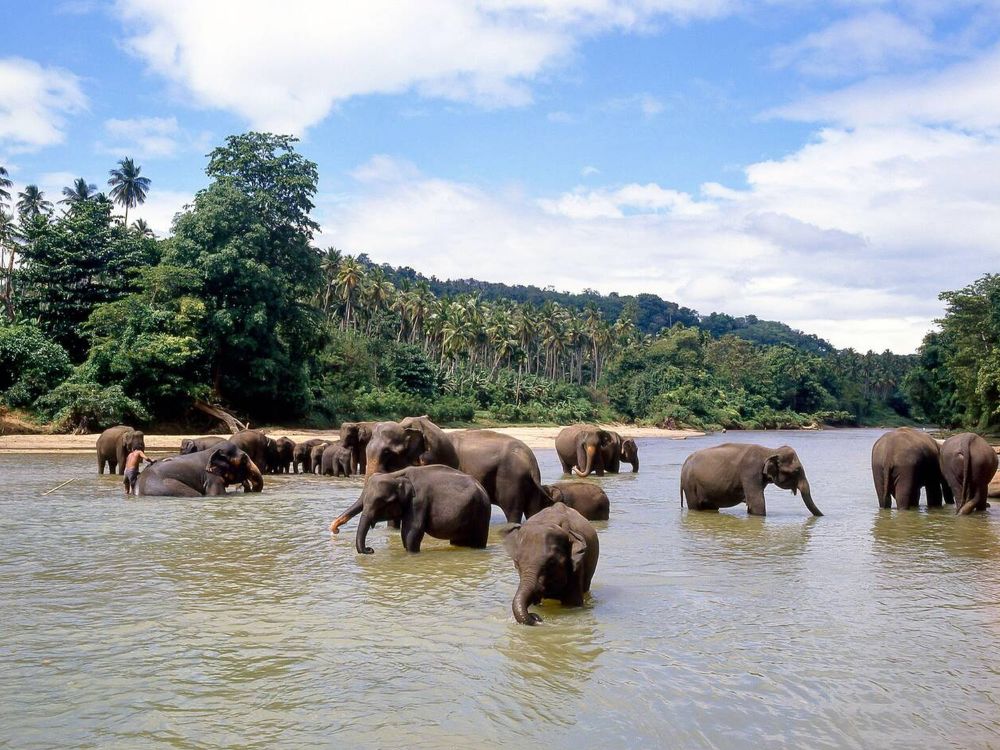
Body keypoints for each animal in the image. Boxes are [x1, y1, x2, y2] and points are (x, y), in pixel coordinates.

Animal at [329, 418, 551, 531]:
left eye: (387, 453)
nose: (335, 529)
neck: (406, 426)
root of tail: (531, 459)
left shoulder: (431, 458)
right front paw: (393, 531)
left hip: (510, 479)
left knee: (512, 510)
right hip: (526, 483)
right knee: (534, 509)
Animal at [353, 465, 491, 554]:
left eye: (381, 502)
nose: (370, 550)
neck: (397, 475)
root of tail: (482, 489)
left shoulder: (418, 502)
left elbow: (412, 531)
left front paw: (412, 554)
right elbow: (406, 534)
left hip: (481, 513)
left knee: (478, 540)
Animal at [680, 443, 822, 516]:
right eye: (797, 471)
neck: (770, 451)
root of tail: (685, 462)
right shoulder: (750, 472)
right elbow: (757, 503)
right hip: (690, 485)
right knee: (695, 506)